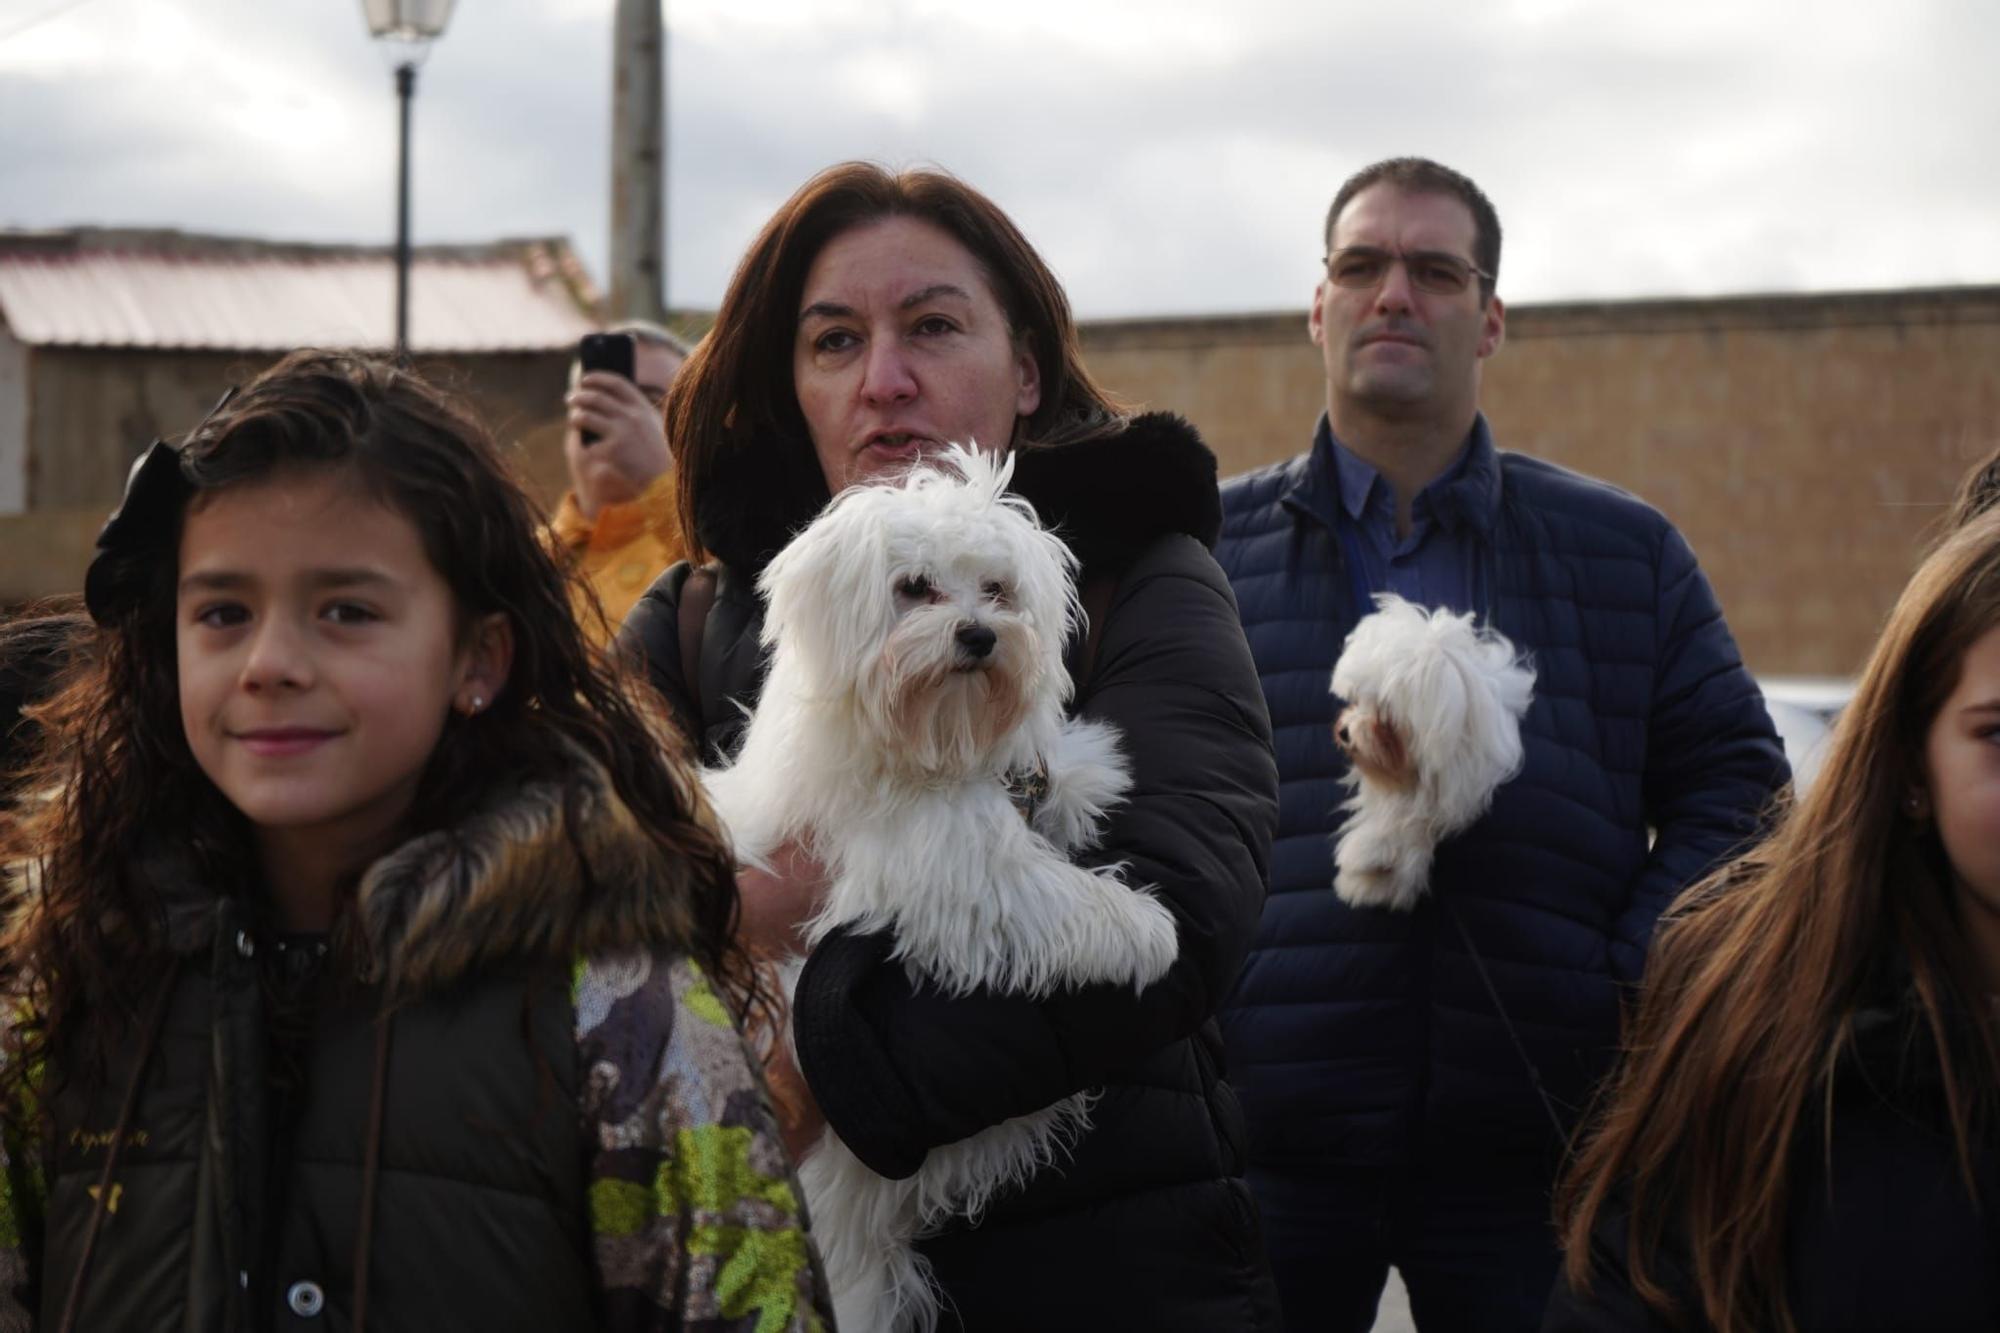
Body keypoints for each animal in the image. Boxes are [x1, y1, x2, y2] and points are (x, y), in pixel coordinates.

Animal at [704, 440, 1176, 1320]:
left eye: (997, 589)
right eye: (914, 587)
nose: (980, 635)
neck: (930, 737)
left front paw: (1088, 766)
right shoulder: (939, 863)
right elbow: (1045, 889)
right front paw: (1144, 930)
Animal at [1336, 596, 1536, 908]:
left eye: (1387, 722)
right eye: (1357, 701)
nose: (1345, 732)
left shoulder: (1447, 796)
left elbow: (1409, 831)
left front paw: (1374, 867)